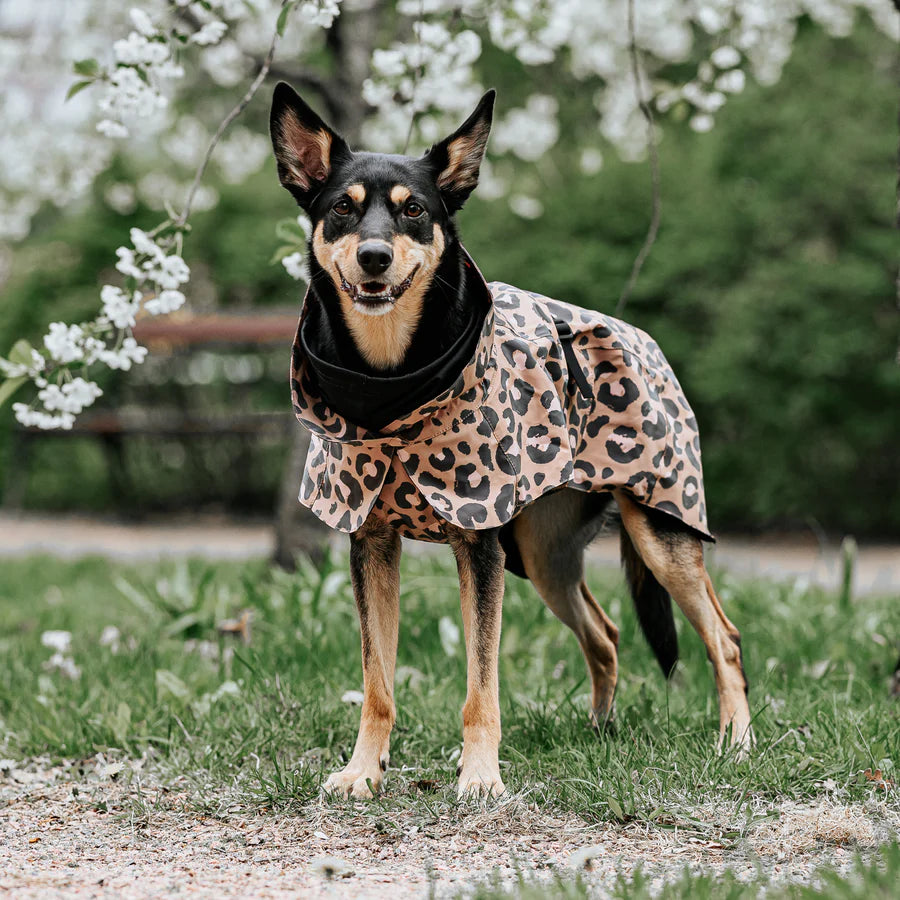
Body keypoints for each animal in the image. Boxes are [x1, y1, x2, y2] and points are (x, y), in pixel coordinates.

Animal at [268, 84, 752, 800]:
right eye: (341, 209)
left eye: (414, 210)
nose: (374, 257)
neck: (392, 385)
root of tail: (646, 341)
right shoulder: (372, 544)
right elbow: (377, 683)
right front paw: (363, 771)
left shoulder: (480, 548)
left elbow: (481, 686)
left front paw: (480, 777)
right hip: (542, 554)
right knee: (606, 634)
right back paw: (600, 731)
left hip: (660, 534)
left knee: (725, 637)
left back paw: (736, 741)